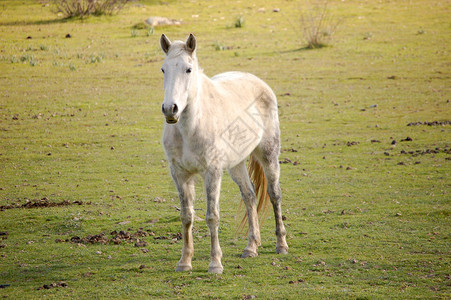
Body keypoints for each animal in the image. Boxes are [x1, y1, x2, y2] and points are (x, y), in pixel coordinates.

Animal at [159, 33, 288, 274]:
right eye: (163, 69)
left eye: (188, 69)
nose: (170, 109)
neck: (191, 127)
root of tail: (258, 82)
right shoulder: (179, 174)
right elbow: (186, 216)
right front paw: (184, 262)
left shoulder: (212, 172)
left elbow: (212, 216)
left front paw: (215, 263)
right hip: (236, 164)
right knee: (249, 195)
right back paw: (251, 247)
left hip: (269, 155)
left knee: (274, 195)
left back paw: (281, 245)